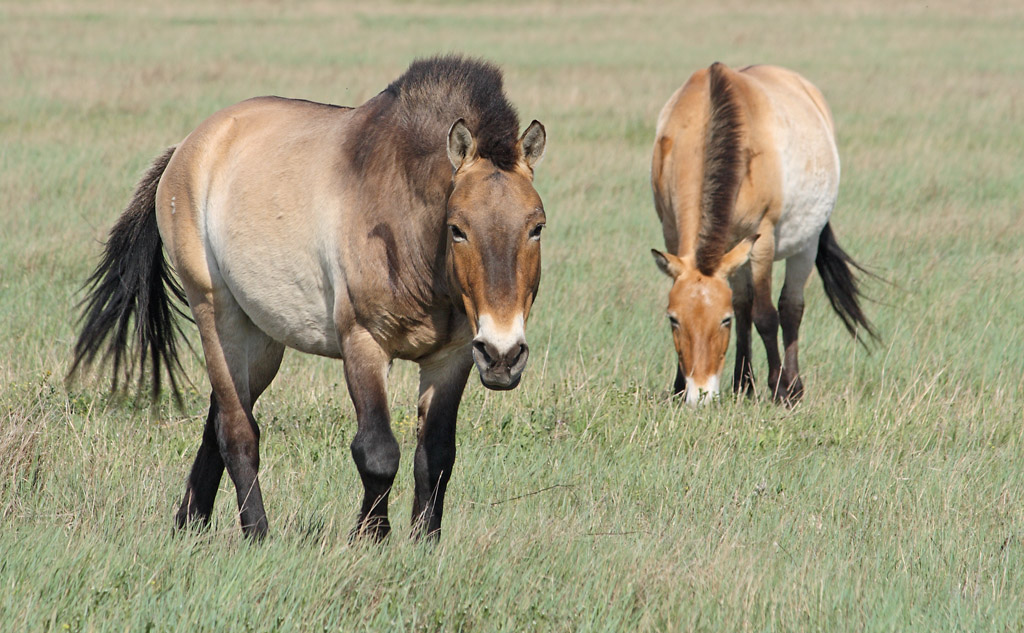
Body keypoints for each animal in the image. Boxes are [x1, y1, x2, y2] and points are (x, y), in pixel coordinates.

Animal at [70, 56, 552, 536]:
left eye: (536, 227)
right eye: (457, 228)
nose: (503, 355)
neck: (406, 224)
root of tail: (189, 146)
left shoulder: (451, 359)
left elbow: (435, 458)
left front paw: (423, 543)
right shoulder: (363, 343)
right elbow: (377, 453)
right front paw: (370, 539)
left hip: (263, 340)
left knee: (219, 419)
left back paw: (189, 523)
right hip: (217, 316)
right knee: (237, 431)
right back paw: (257, 534)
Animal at [651, 62, 876, 403]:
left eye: (723, 320)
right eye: (674, 319)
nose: (701, 394)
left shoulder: (762, 240)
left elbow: (766, 315)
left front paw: (780, 388)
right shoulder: (673, 233)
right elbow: (744, 308)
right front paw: (679, 388)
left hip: (805, 246)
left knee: (790, 308)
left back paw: (793, 386)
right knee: (745, 303)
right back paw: (743, 383)